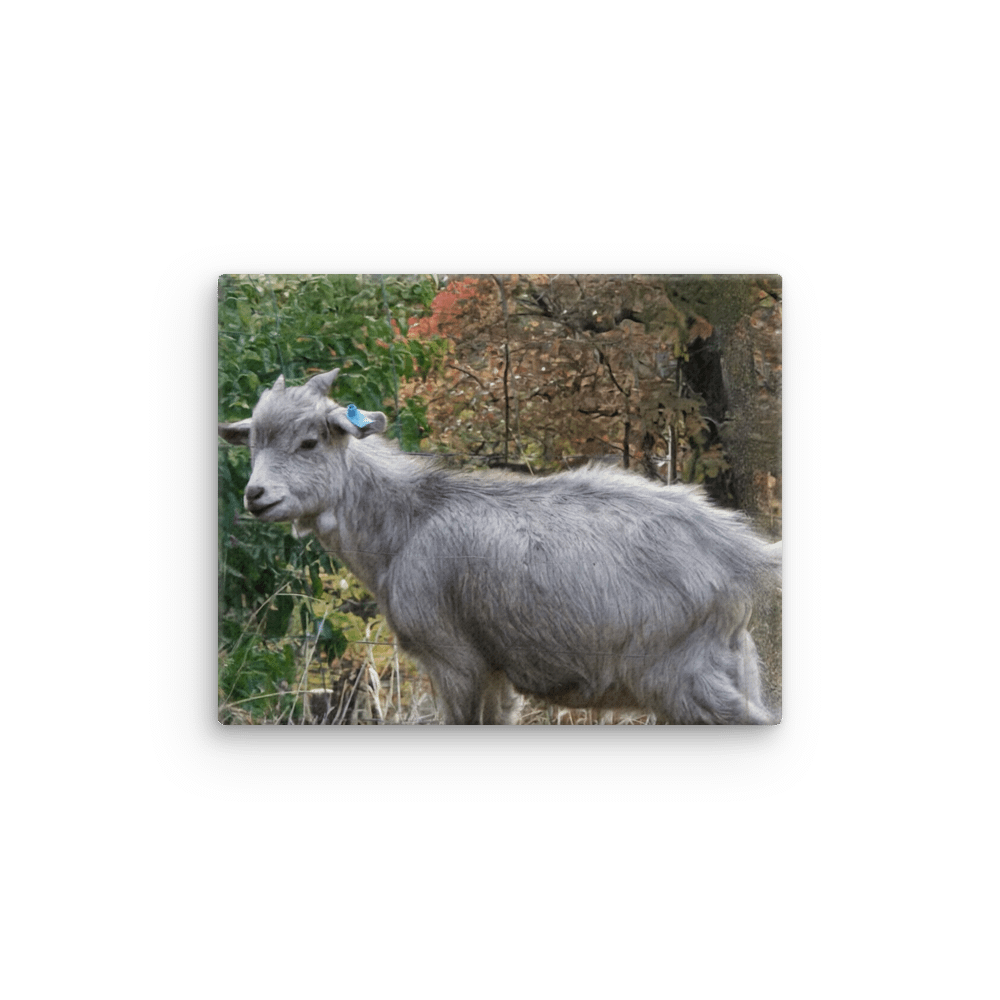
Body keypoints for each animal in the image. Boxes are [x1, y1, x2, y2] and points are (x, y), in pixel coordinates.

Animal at [218, 369, 782, 724]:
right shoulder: (493, 669)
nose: (256, 495)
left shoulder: (454, 659)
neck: (409, 520)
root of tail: (739, 546)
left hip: (679, 674)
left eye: (310, 441)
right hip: (730, 660)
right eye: (253, 444)